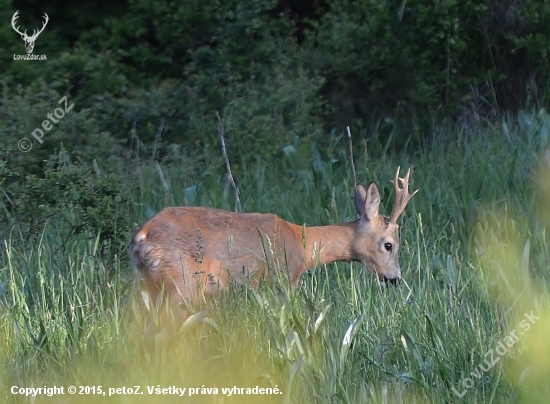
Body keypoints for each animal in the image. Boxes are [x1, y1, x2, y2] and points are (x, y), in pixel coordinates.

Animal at [132, 166, 420, 304]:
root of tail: (142, 237)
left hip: (150, 285)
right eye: (389, 245)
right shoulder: (282, 280)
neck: (303, 246)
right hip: (182, 283)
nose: (395, 279)